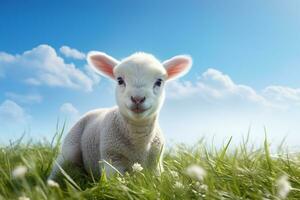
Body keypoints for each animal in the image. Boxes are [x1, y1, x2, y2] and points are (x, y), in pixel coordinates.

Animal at [48, 51, 191, 180]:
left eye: (159, 82)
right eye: (120, 80)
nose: (137, 98)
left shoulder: (155, 164)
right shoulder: (112, 160)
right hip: (70, 148)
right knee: (58, 168)